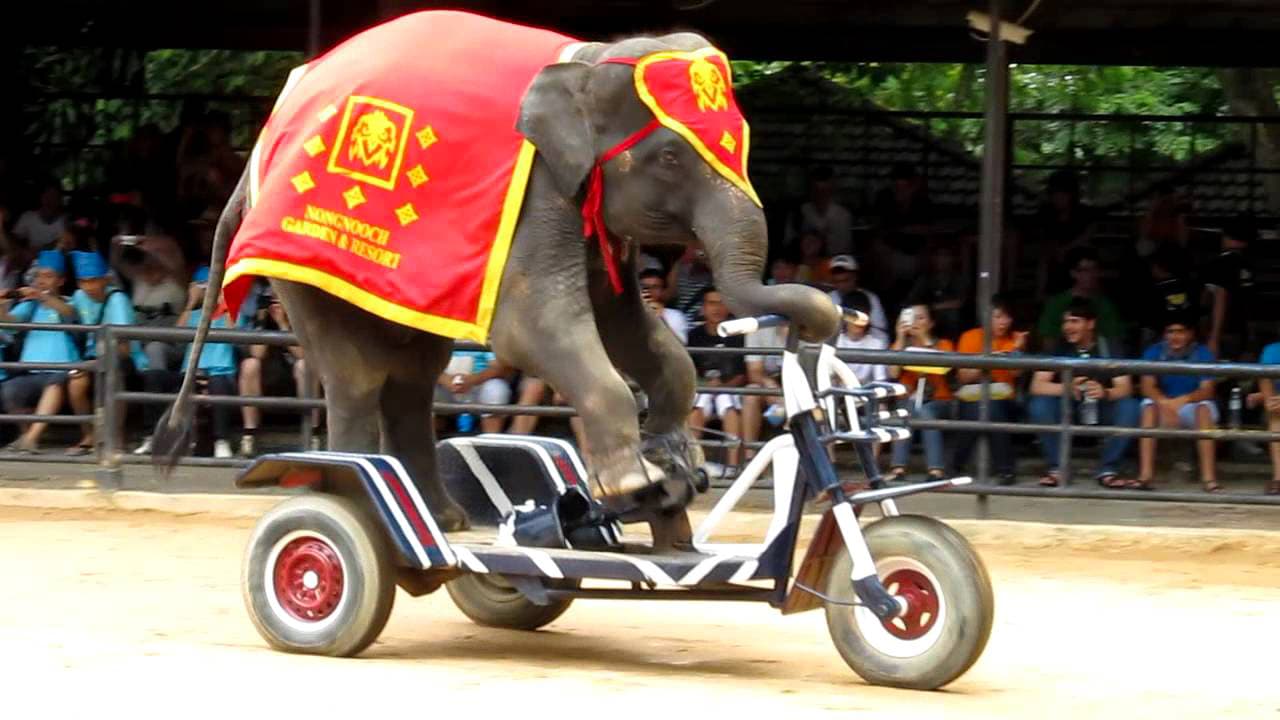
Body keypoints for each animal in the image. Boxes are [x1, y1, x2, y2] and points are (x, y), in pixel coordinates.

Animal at [154, 11, 840, 546]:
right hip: (306, 263)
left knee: (412, 377)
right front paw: (635, 482)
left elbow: (628, 325)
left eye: (741, 140)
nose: (835, 313)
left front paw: (677, 457)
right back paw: (352, 493)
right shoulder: (539, 194)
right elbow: (534, 327)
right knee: (358, 374)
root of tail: (261, 142)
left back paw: (445, 520)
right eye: (671, 156)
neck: (588, 61)